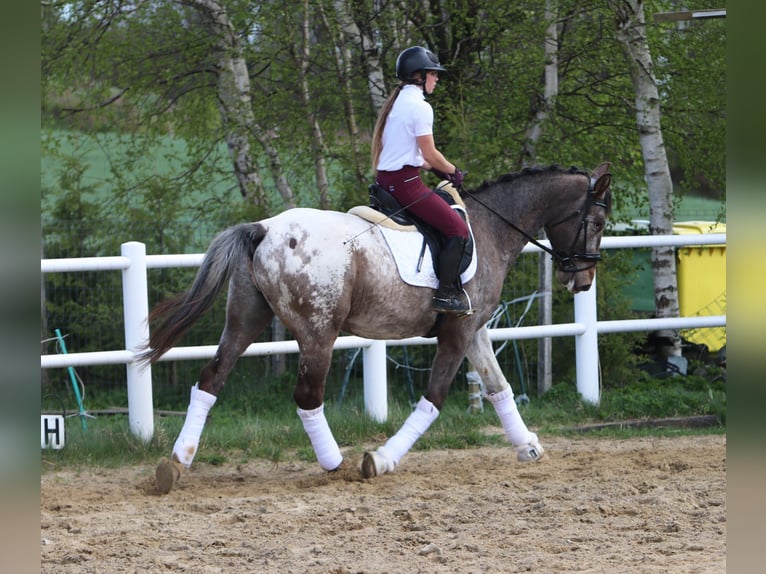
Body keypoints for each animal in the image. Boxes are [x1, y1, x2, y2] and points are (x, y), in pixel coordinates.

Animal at [141, 163, 616, 496]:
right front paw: (383, 459)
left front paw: (528, 446)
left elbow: (499, 386)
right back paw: (337, 464)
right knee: (307, 397)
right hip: (319, 332)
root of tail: (264, 229)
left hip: (245, 320)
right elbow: (434, 399)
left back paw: (176, 463)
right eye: (596, 224)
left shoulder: (475, 329)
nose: (582, 281)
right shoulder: (458, 333)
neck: (491, 227)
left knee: (210, 379)